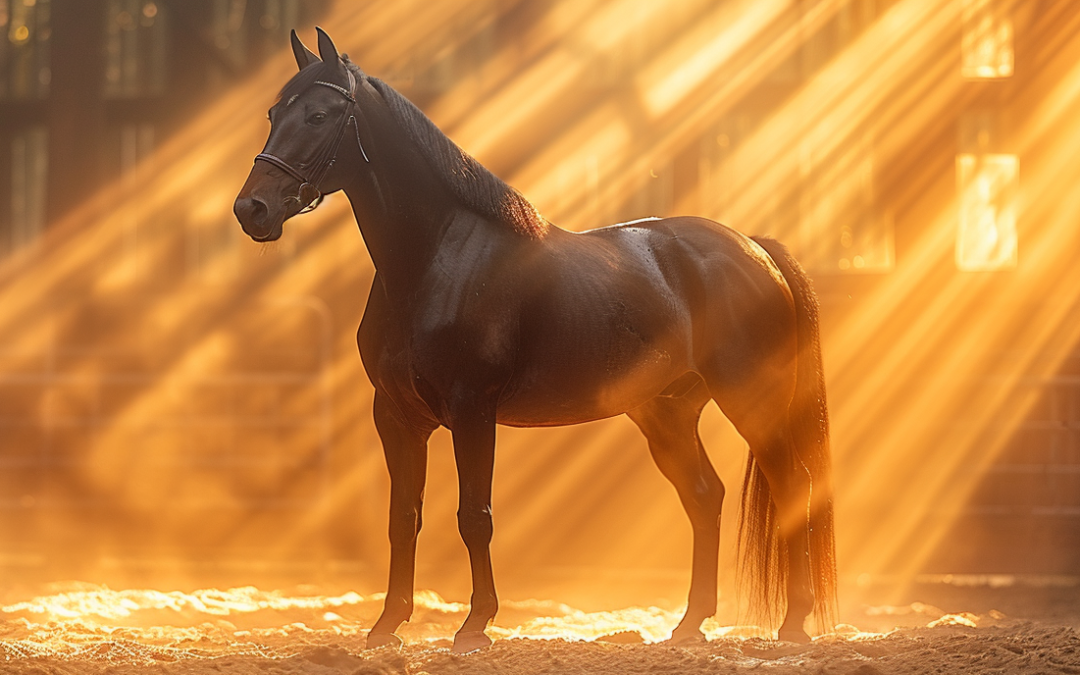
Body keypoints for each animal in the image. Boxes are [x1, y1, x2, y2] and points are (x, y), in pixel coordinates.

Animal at [236, 27, 838, 652]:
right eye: (275, 113)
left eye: (319, 115)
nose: (251, 208)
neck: (435, 262)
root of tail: (755, 248)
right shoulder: (396, 416)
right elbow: (404, 517)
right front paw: (386, 625)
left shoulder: (472, 410)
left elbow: (474, 516)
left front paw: (475, 626)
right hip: (666, 414)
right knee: (704, 496)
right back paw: (690, 624)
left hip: (751, 399)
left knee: (794, 486)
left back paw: (794, 624)